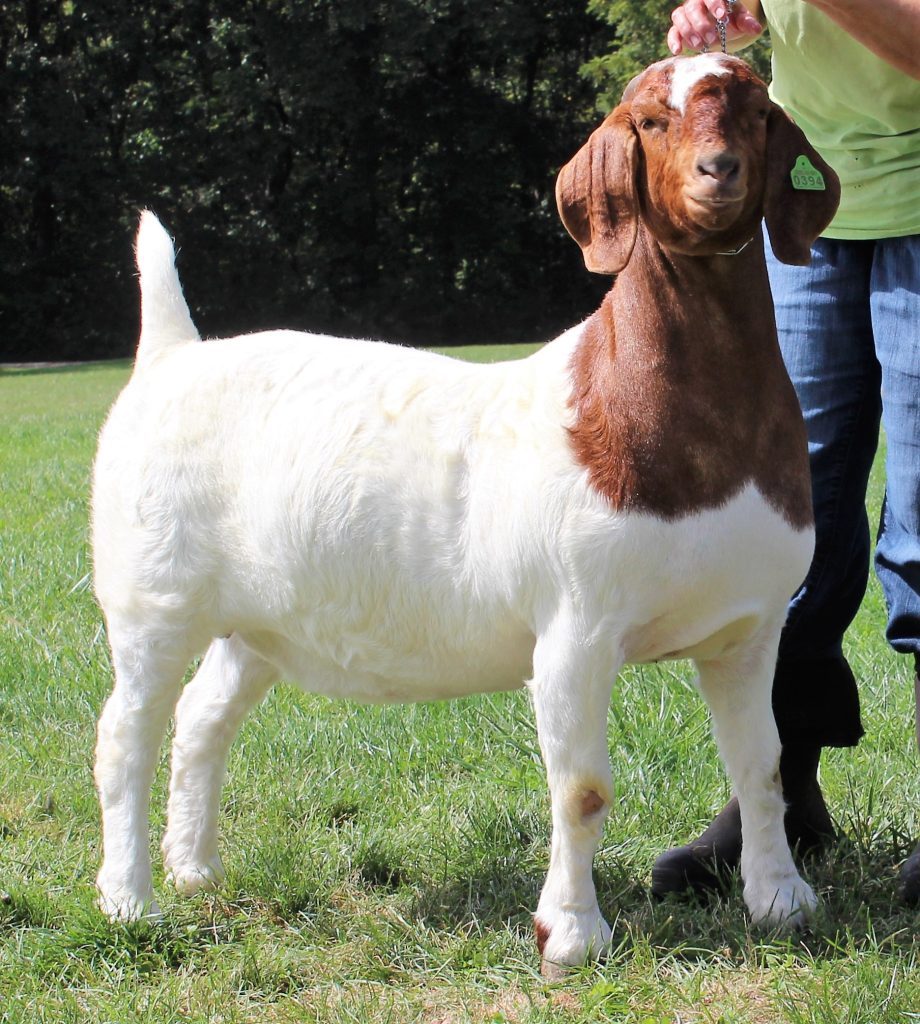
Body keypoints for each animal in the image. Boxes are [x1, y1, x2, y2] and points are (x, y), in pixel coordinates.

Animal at [93, 54, 840, 974]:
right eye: (649, 120)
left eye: (757, 111)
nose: (719, 171)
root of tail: (172, 356)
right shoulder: (575, 628)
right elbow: (582, 788)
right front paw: (572, 934)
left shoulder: (749, 628)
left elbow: (762, 764)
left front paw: (781, 900)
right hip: (152, 594)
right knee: (126, 734)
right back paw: (131, 902)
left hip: (259, 618)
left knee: (202, 719)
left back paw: (196, 869)